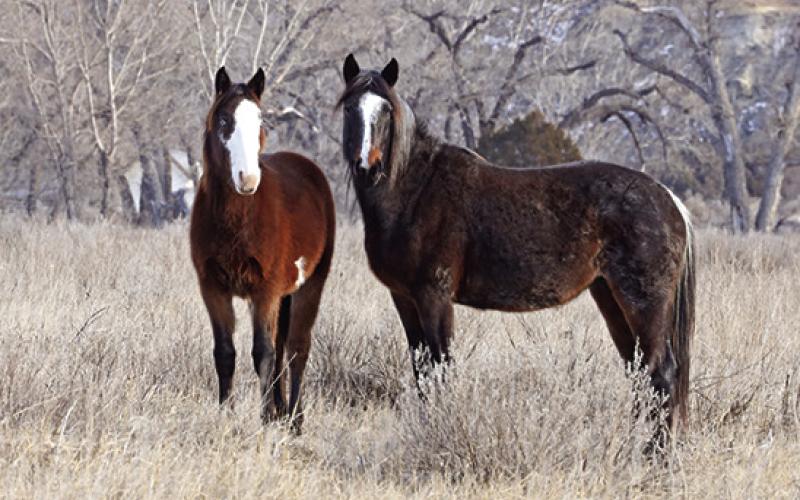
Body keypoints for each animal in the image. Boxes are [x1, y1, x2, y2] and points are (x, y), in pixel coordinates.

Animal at [190, 67, 335, 432]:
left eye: (259, 120)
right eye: (224, 120)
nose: (248, 179)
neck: (239, 218)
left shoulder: (265, 290)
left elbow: (263, 353)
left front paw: (265, 418)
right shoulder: (212, 288)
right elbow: (225, 352)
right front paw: (226, 415)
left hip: (310, 285)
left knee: (296, 348)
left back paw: (294, 418)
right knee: (283, 346)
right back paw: (284, 412)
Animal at [337, 54, 695, 444]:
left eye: (385, 110)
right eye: (349, 107)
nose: (365, 165)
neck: (416, 190)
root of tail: (667, 197)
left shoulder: (434, 297)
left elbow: (441, 369)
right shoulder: (404, 298)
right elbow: (422, 373)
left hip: (643, 302)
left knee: (661, 371)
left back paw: (654, 452)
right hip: (609, 297)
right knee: (639, 369)